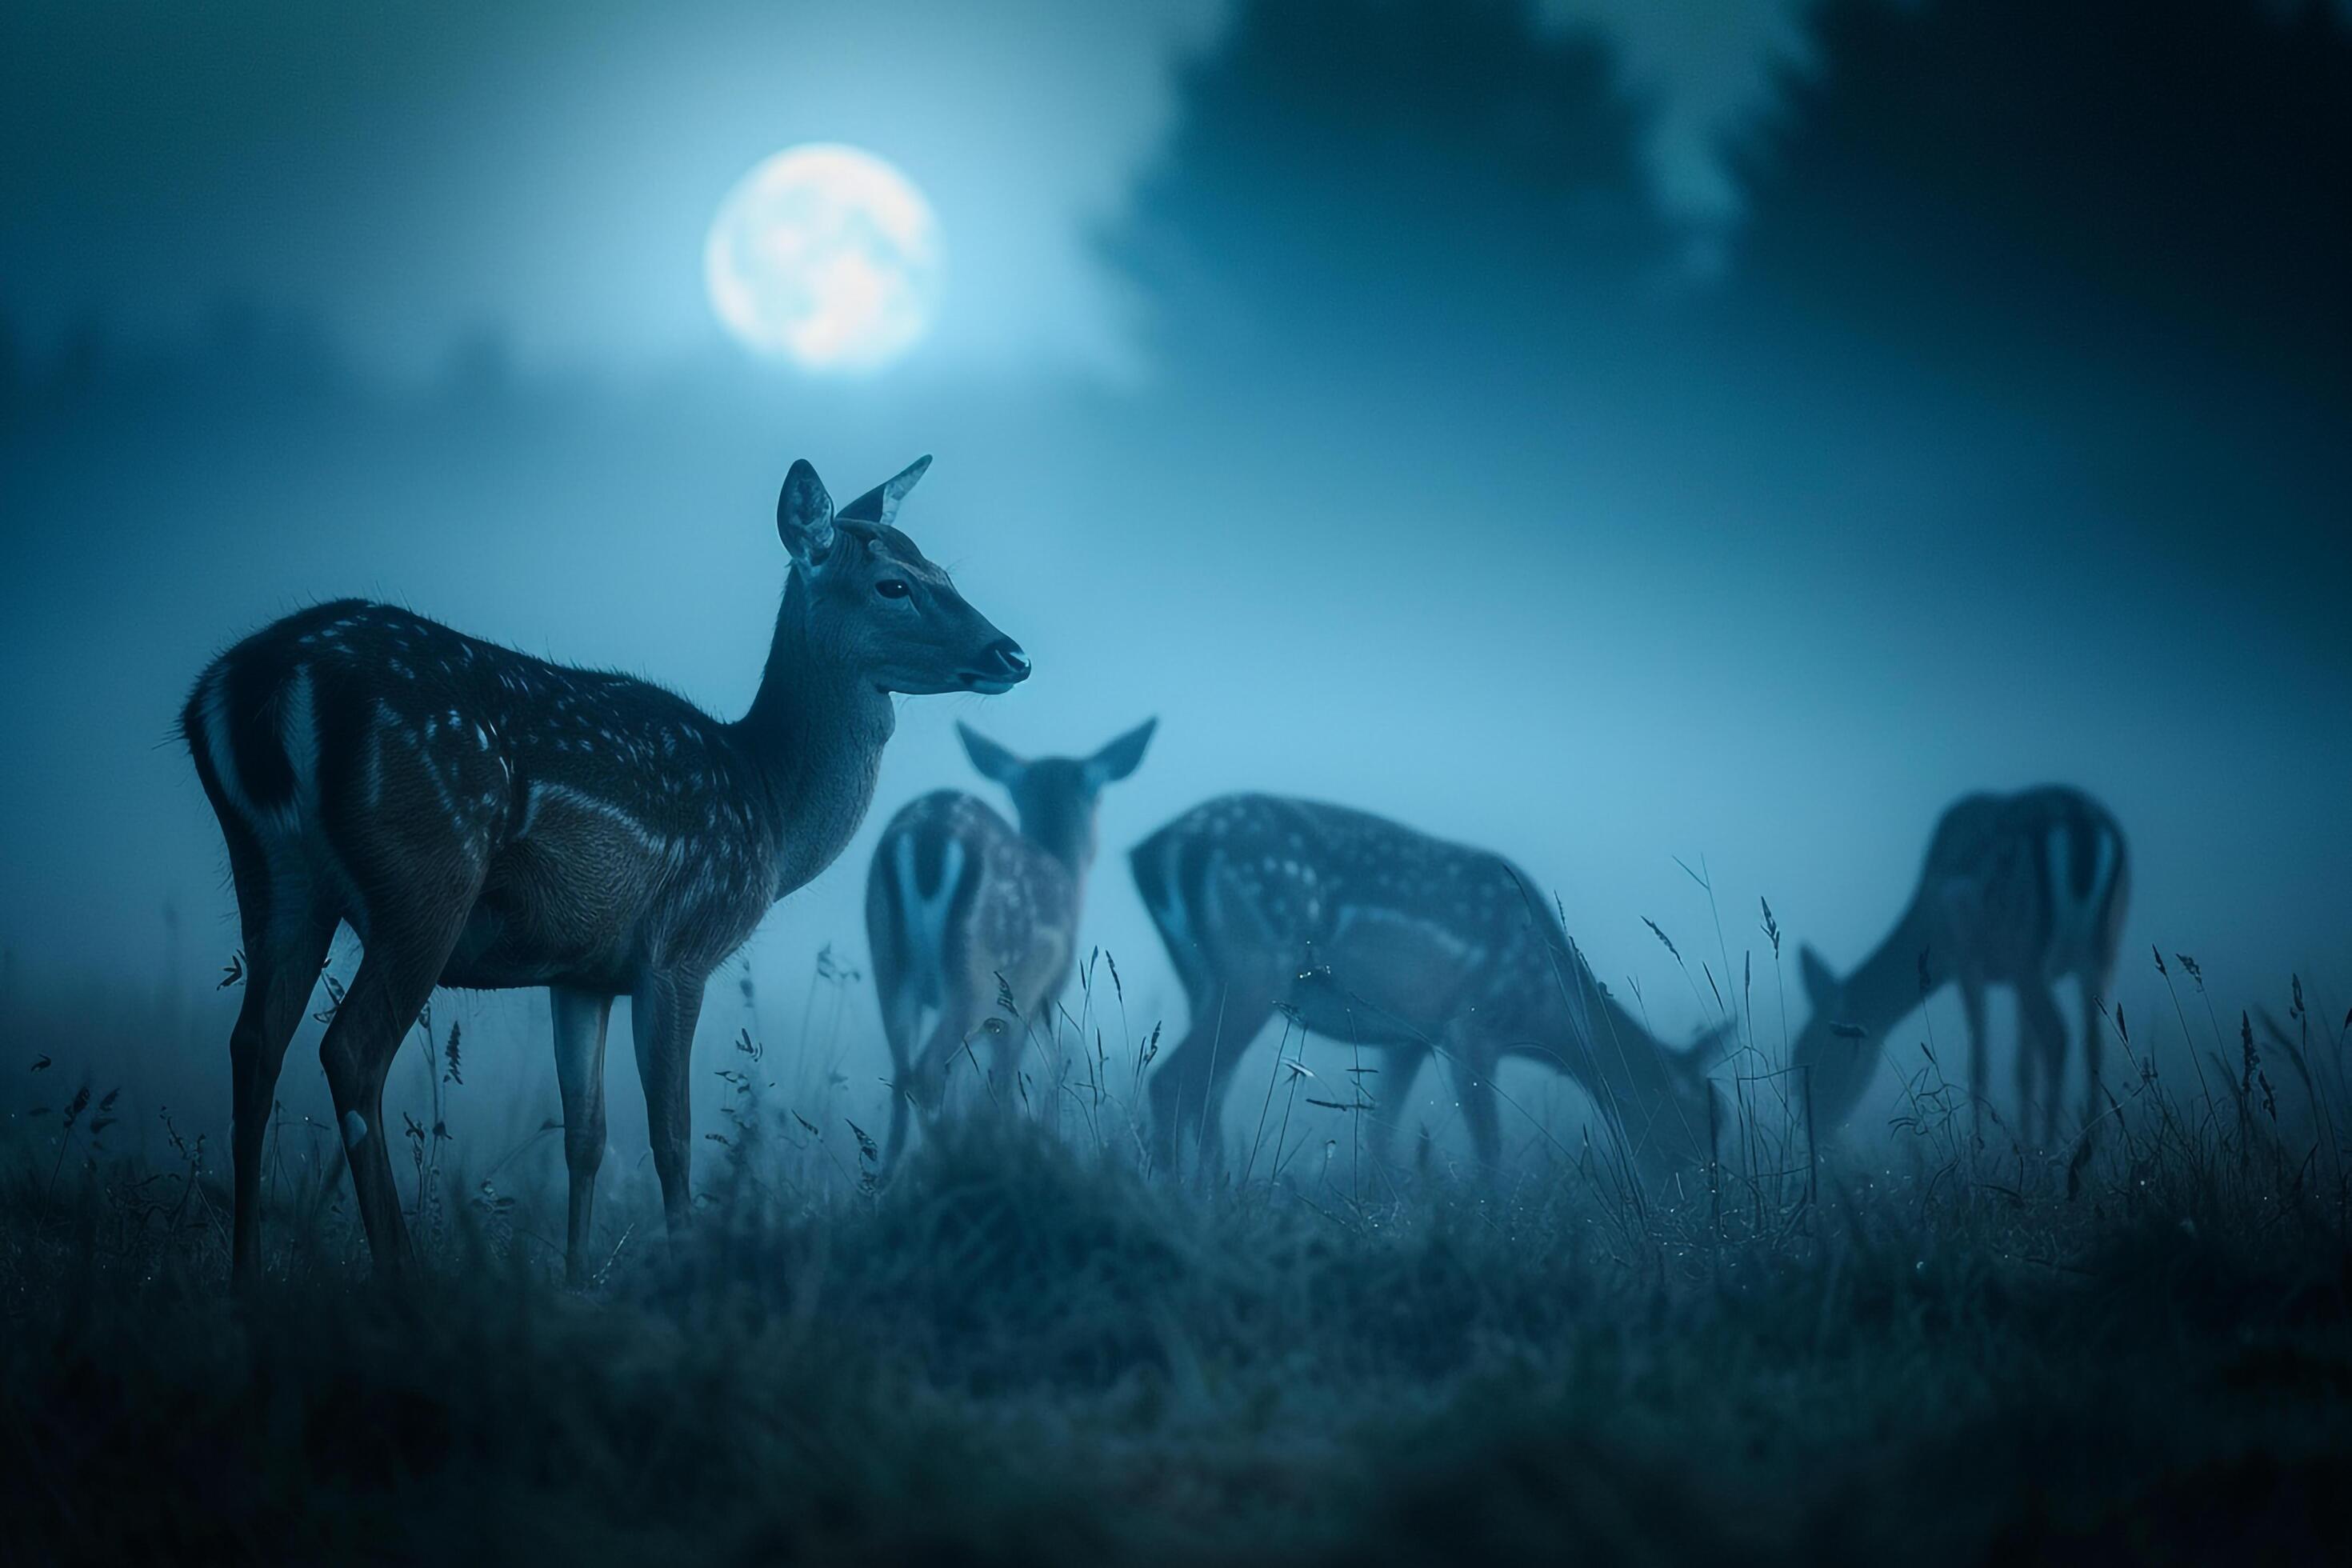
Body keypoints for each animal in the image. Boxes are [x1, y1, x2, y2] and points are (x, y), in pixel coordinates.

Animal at [178, 454, 1025, 1288]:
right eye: (895, 584)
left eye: (941, 569)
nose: (1010, 652)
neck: (770, 811)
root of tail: (255, 683)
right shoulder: (681, 947)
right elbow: (672, 1136)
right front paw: (684, 1270)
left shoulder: (581, 971)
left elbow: (585, 1134)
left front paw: (578, 1281)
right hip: (427, 873)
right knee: (351, 1050)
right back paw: (400, 1274)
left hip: (273, 870)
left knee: (254, 1045)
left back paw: (245, 1278)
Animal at [865, 719, 1157, 1166]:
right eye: (1098, 796)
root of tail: (927, 839)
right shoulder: (1029, 1002)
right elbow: (1009, 1087)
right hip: (981, 974)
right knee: (928, 1074)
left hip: (889, 963)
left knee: (902, 1079)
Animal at [1129, 799, 1722, 1189]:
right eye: (1692, 1121)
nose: (1698, 1204)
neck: (1547, 1014)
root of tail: (1153, 849)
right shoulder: (1472, 1024)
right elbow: (1490, 1147)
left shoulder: (1410, 1036)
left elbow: (1378, 1137)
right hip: (1255, 965)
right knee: (1172, 1081)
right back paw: (1180, 1202)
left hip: (1203, 978)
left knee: (1208, 1091)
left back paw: (1218, 1190)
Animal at [1787, 790, 2126, 1147]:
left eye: (1819, 1058)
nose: (1816, 1130)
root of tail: (2080, 824)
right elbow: (2023, 1066)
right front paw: (2022, 1143)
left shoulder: (1966, 957)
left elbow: (1978, 1060)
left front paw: (1982, 1146)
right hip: (2101, 949)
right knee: (2095, 1042)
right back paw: (2090, 1145)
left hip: (2026, 945)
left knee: (2057, 1036)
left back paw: (2055, 1151)